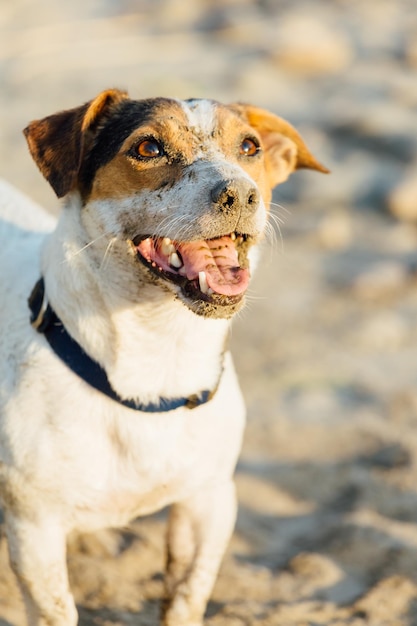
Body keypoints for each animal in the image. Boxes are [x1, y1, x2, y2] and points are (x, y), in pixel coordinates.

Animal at [0, 89, 324, 624]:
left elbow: (186, 595)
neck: (158, 355)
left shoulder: (208, 501)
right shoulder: (34, 532)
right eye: (148, 148)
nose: (240, 194)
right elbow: (57, 609)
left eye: (250, 147)